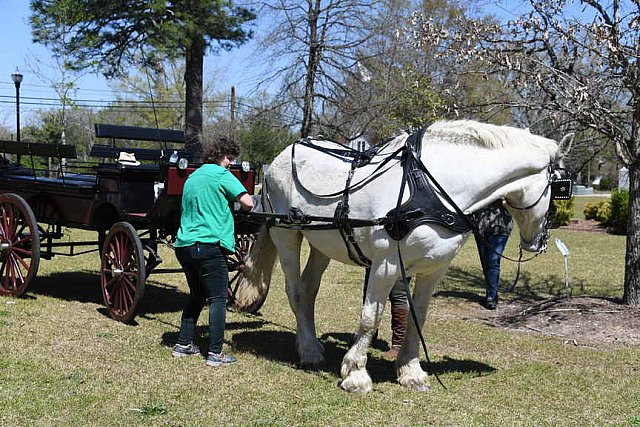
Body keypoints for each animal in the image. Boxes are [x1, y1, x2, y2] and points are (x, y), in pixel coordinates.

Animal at [234, 120, 568, 394]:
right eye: (561, 187)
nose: (539, 242)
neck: (431, 188)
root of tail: (278, 159)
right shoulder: (385, 265)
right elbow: (370, 316)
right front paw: (356, 374)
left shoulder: (434, 269)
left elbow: (416, 315)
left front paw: (410, 371)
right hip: (286, 234)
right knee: (295, 290)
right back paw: (308, 350)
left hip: (322, 244)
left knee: (309, 289)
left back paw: (312, 343)